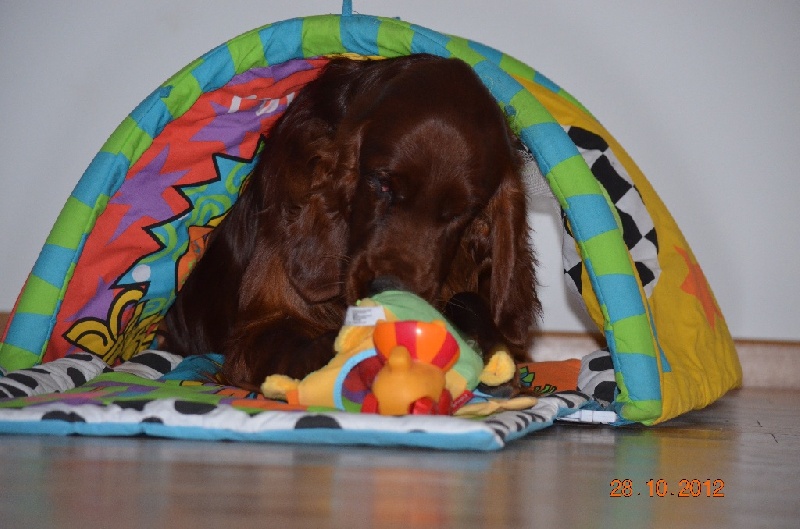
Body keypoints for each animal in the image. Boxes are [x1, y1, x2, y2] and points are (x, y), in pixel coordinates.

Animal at [161, 54, 540, 389]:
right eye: (382, 183)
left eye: (461, 211)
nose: (388, 289)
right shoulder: (256, 331)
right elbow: (313, 344)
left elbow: (471, 301)